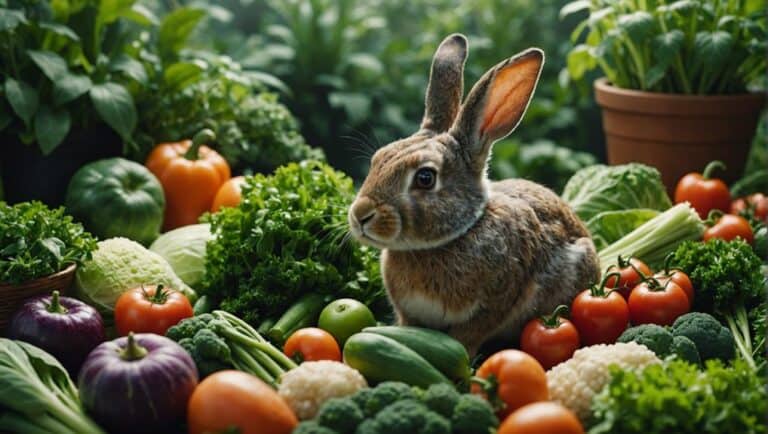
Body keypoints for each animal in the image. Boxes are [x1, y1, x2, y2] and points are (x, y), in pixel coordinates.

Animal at [347, 33, 600, 355]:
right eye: (378, 159)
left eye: (425, 178)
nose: (360, 215)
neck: (453, 237)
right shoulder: (409, 314)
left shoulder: (494, 304)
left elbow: (465, 339)